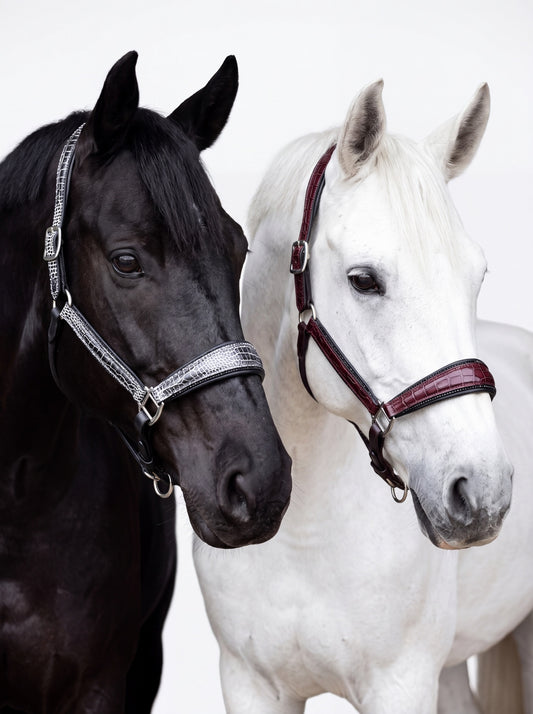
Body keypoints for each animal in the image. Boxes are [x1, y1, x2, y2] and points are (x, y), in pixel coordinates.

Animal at [193, 80, 533, 713]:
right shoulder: (249, 683)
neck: (303, 534)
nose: (483, 494)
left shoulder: (401, 683)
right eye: (364, 280)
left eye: (477, 277)